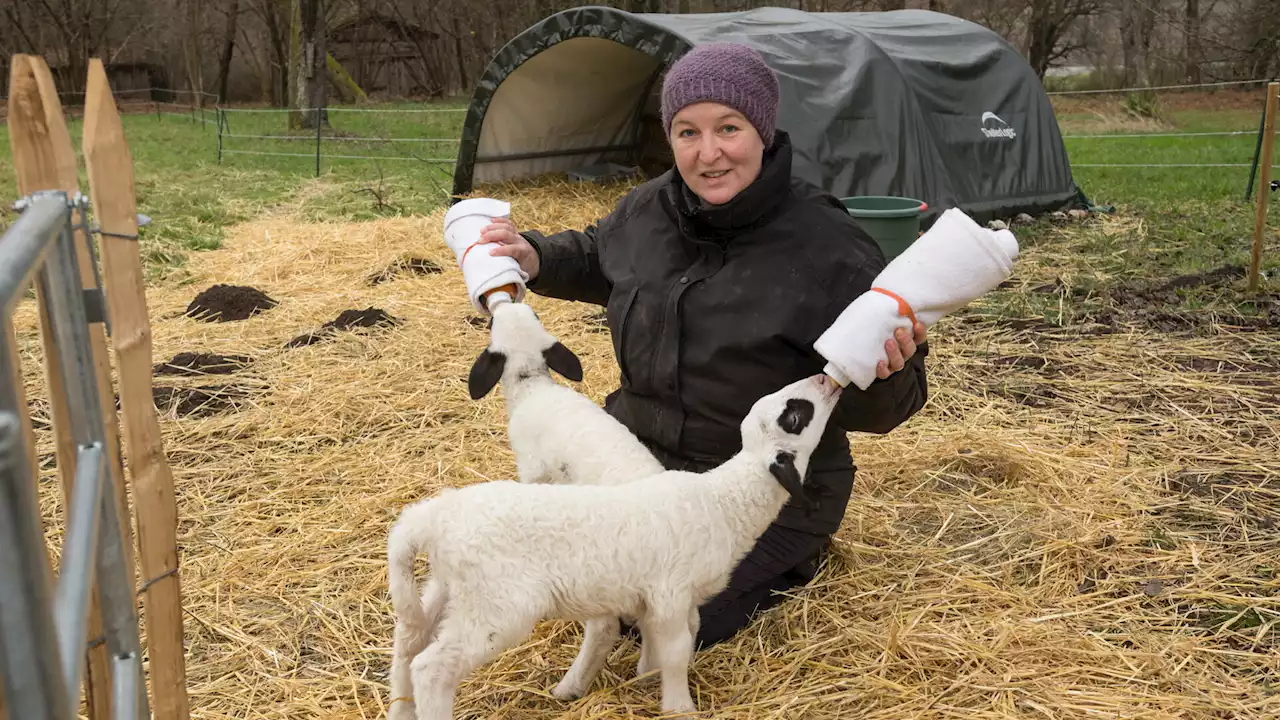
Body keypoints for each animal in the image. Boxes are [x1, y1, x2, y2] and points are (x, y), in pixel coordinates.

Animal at [384, 368, 839, 717]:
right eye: (795, 414)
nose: (825, 377)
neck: (722, 502)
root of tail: (434, 518)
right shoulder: (670, 593)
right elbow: (677, 649)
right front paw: (679, 706)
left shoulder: (668, 599)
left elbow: (678, 638)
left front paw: (647, 677)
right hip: (498, 605)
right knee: (432, 667)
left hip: (451, 590)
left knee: (408, 646)